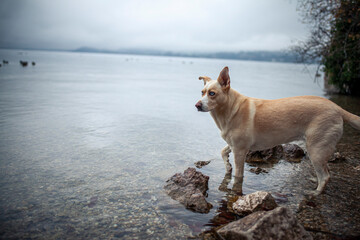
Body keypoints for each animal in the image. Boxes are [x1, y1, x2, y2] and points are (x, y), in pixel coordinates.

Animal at [195, 66, 360, 195]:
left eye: (212, 93)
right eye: (202, 92)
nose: (197, 105)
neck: (230, 108)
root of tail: (337, 108)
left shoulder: (240, 150)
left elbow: (238, 176)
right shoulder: (234, 145)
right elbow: (223, 152)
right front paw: (228, 166)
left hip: (316, 150)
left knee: (325, 176)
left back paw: (315, 193)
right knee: (324, 174)